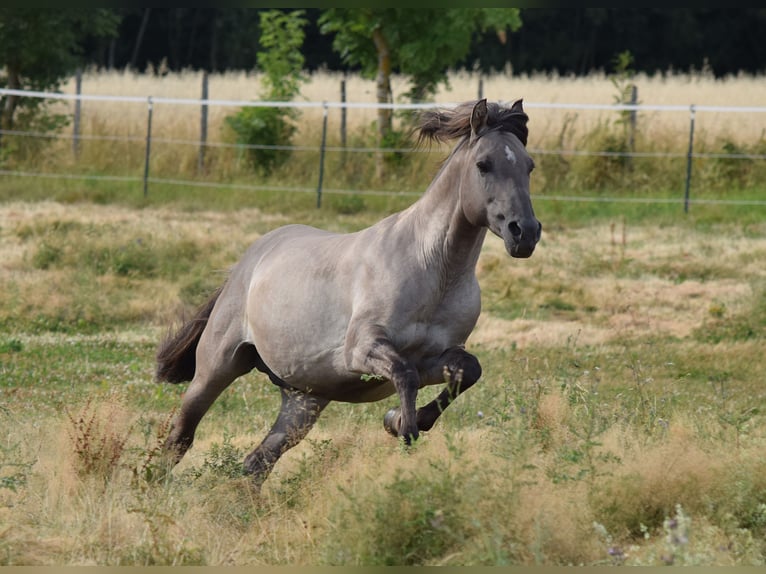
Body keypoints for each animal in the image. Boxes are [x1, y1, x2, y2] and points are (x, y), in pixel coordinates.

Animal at [156, 98, 541, 486]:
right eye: (483, 164)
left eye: (529, 165)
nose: (524, 232)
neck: (434, 269)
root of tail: (248, 263)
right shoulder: (362, 349)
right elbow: (405, 373)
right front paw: (402, 427)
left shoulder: (437, 357)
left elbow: (467, 370)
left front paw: (402, 421)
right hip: (217, 368)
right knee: (180, 437)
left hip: (303, 402)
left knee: (256, 464)